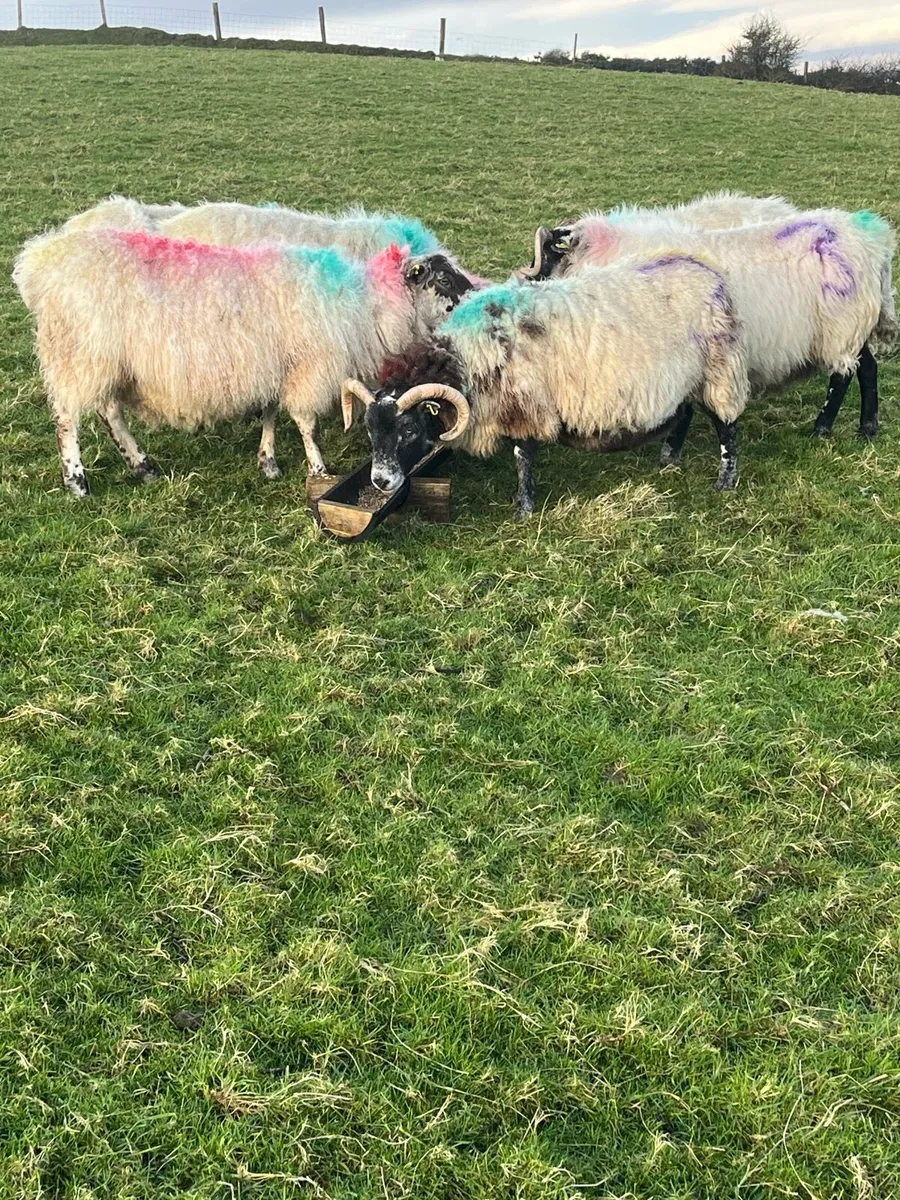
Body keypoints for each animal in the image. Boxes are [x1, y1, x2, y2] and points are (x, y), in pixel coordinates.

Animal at [14, 228, 478, 497]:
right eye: (442, 278)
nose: (480, 296)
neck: (367, 305)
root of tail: (38, 263)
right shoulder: (308, 368)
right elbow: (306, 423)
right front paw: (319, 469)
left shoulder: (277, 367)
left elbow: (271, 412)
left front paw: (268, 461)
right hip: (78, 353)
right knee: (66, 417)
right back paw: (77, 481)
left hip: (109, 362)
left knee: (110, 412)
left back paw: (143, 466)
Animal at [342, 253, 750, 520]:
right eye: (369, 428)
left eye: (410, 428)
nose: (380, 481)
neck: (468, 355)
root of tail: (710, 275)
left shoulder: (526, 407)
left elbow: (523, 458)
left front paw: (523, 509)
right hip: (685, 378)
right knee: (685, 412)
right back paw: (668, 461)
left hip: (719, 372)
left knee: (727, 427)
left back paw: (725, 482)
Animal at [523, 208, 895, 451]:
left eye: (546, 255)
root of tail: (875, 243)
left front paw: (669, 454)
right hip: (855, 329)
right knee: (868, 368)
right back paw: (867, 428)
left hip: (842, 328)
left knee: (843, 376)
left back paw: (822, 429)